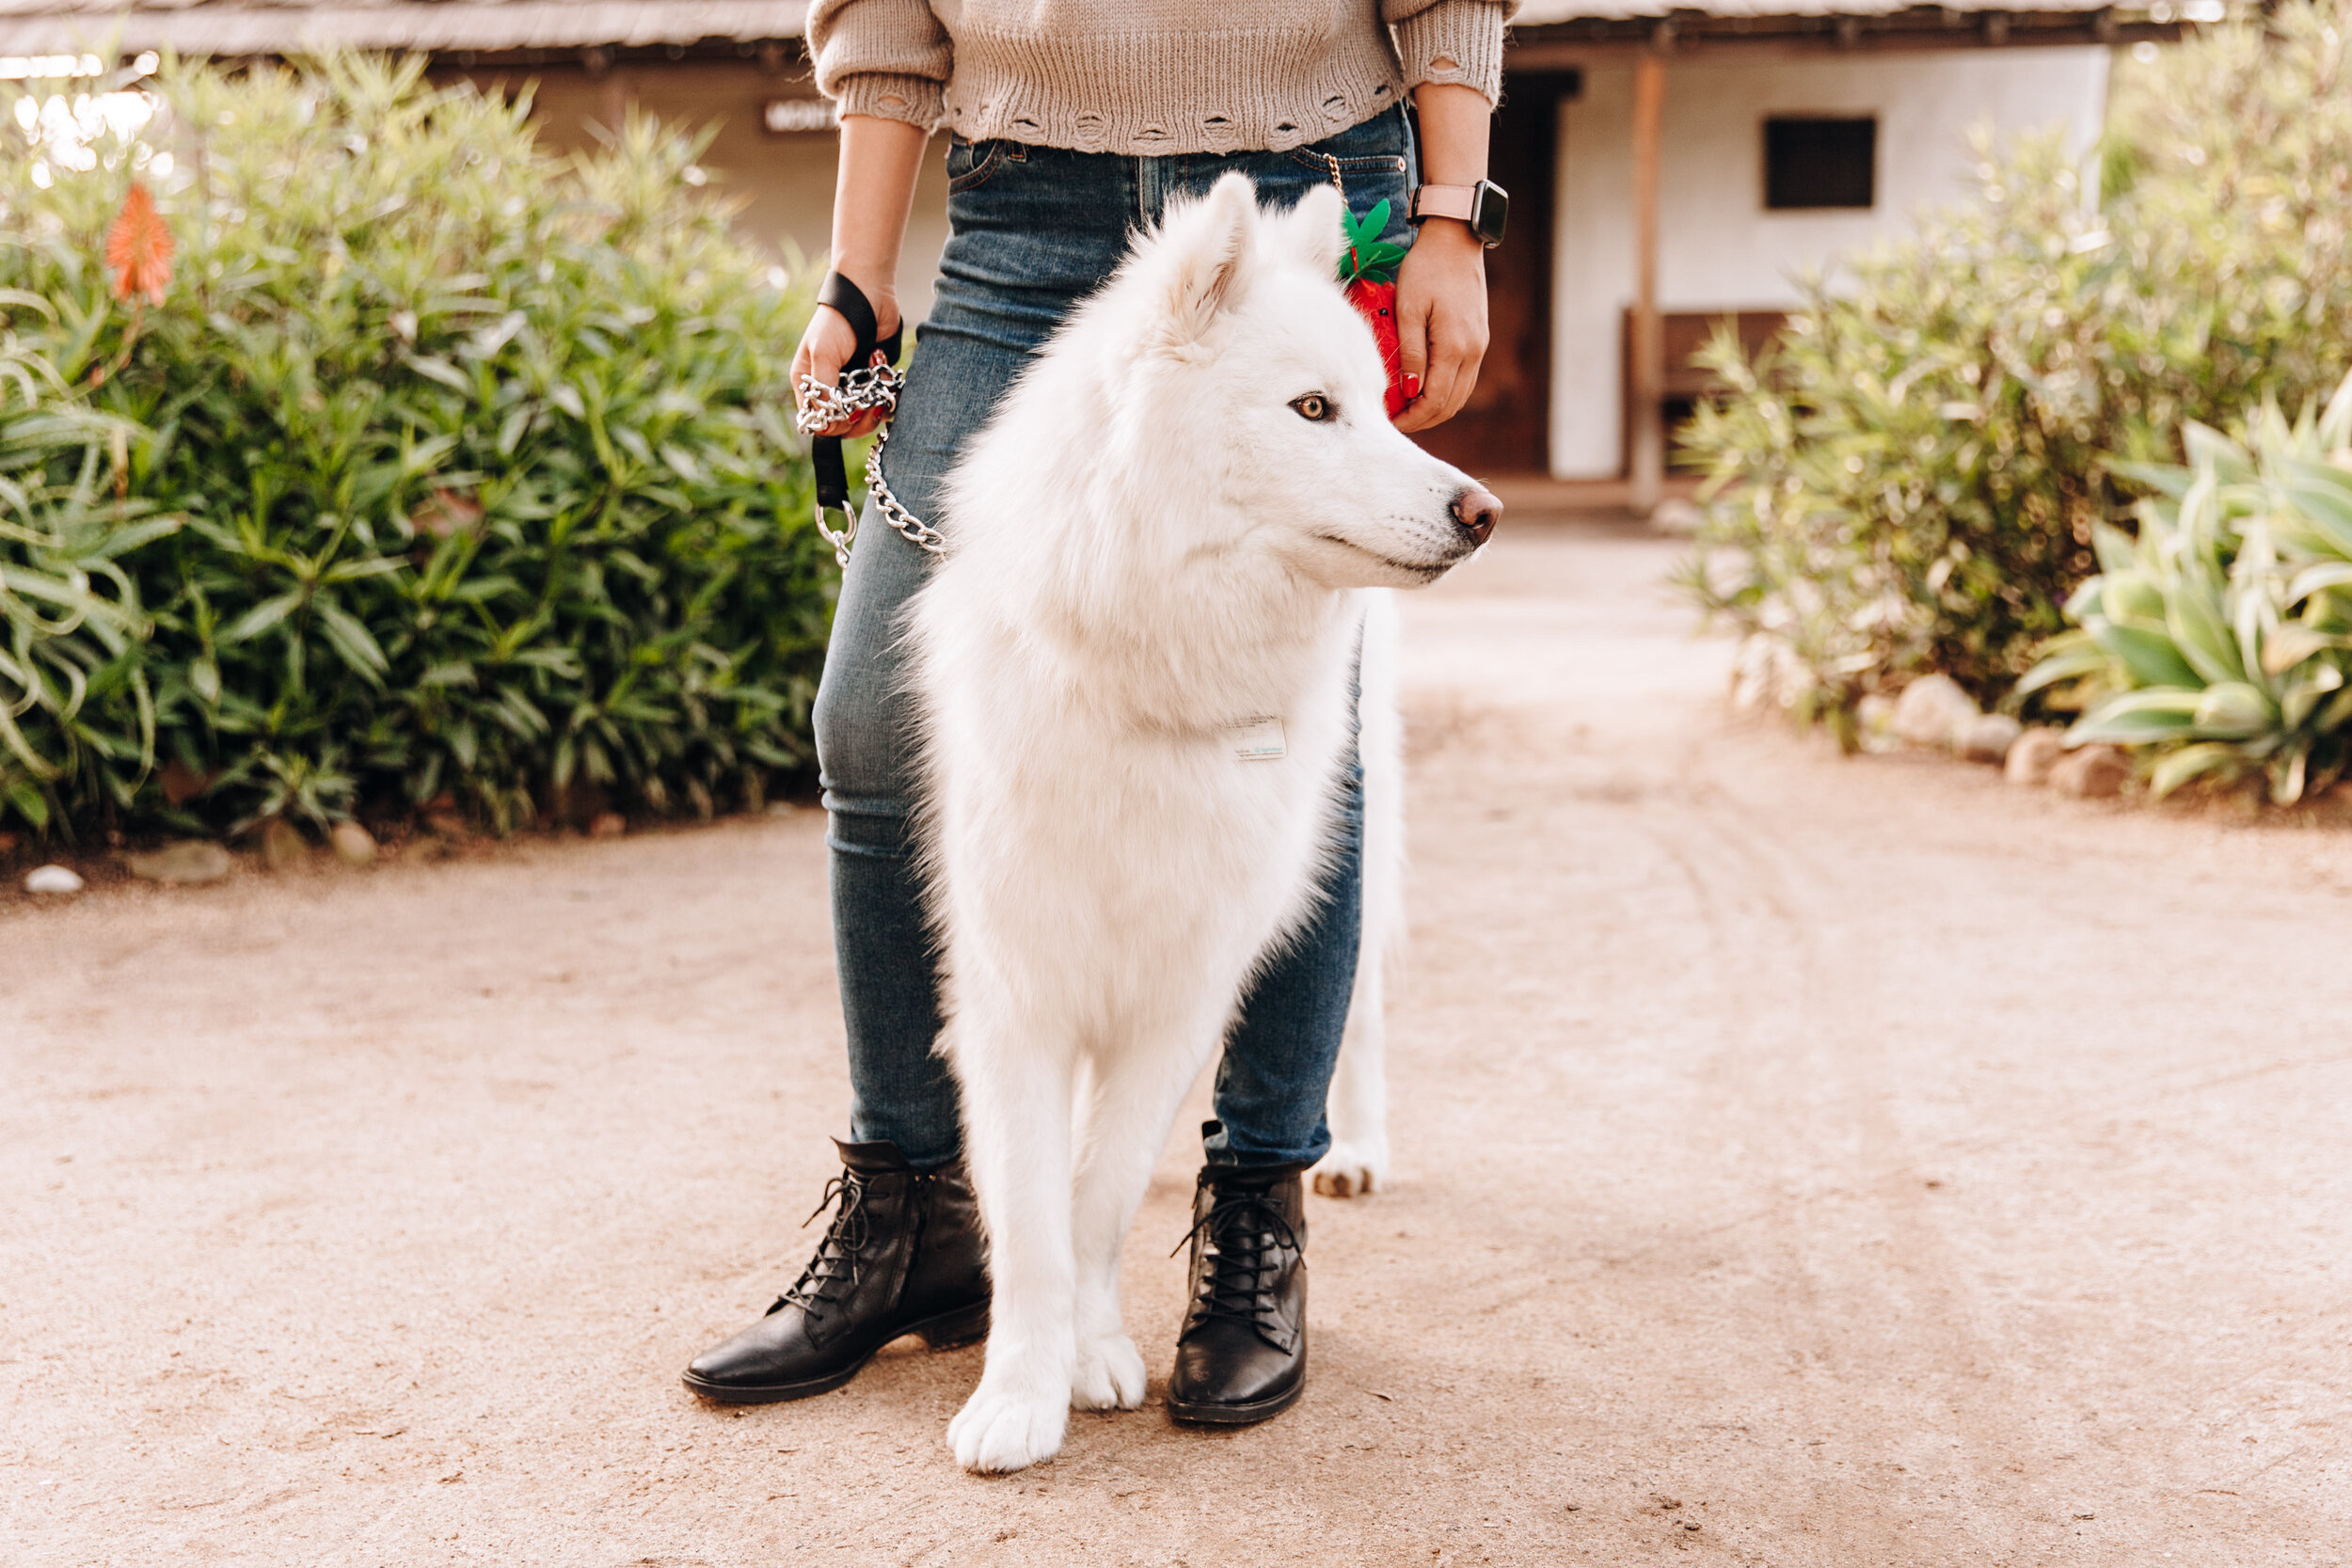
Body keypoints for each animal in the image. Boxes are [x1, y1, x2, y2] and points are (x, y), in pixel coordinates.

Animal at [903, 171, 1486, 1476]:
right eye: (1314, 408)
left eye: (1376, 405)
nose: (1481, 510)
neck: (1145, 671)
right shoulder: (1017, 990)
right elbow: (1033, 1204)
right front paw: (1020, 1392)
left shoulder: (1182, 987)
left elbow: (1098, 1191)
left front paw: (1088, 1353)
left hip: (1349, 849)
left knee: (1361, 1012)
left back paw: (1354, 1149)